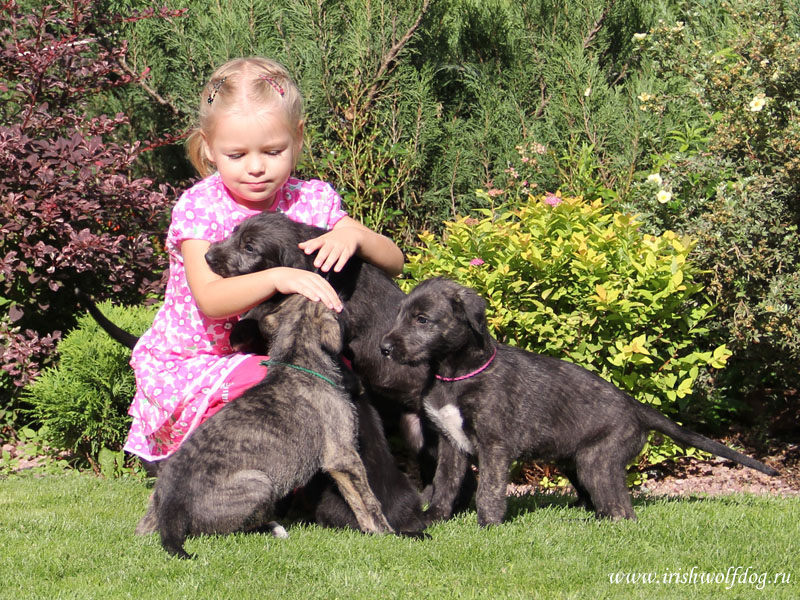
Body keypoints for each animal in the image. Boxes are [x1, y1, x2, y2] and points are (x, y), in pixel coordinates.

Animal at [148, 296, 394, 556]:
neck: (295, 358)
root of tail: (171, 506)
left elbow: (356, 499)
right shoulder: (342, 455)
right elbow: (368, 500)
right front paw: (386, 532)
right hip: (260, 483)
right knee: (230, 529)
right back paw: (273, 528)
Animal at [378, 276, 780, 524]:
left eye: (423, 319)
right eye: (400, 316)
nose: (384, 347)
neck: (455, 374)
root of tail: (637, 407)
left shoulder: (494, 445)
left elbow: (489, 489)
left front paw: (488, 526)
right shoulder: (451, 444)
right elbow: (444, 484)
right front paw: (434, 519)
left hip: (597, 462)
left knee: (621, 511)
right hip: (575, 460)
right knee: (603, 505)